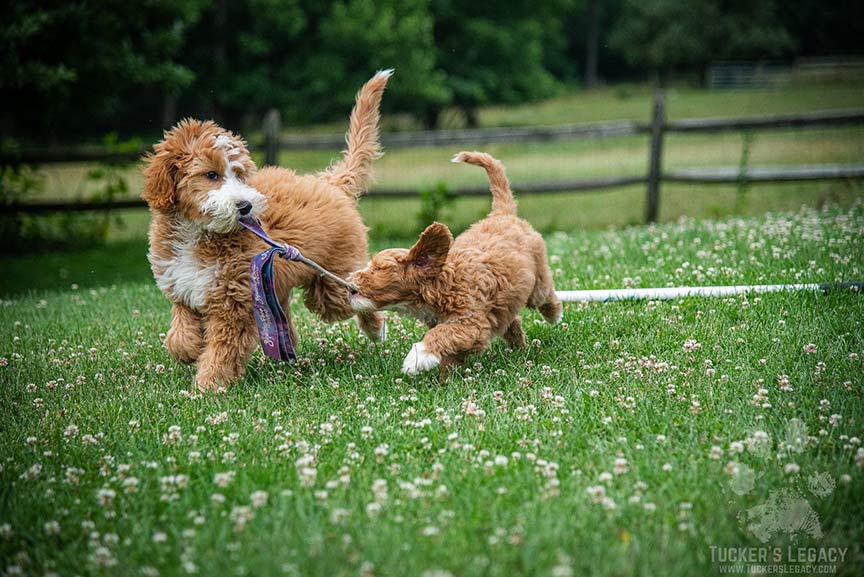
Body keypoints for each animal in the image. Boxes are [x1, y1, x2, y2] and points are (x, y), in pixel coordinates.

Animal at [143, 70, 394, 390]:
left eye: (239, 174)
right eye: (211, 174)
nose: (245, 206)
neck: (198, 233)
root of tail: (328, 182)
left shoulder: (234, 301)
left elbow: (224, 348)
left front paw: (209, 384)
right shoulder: (182, 286)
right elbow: (180, 333)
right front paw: (189, 349)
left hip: (329, 285)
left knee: (350, 296)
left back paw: (377, 328)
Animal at [348, 151, 564, 376]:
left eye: (378, 268)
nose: (349, 281)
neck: (441, 285)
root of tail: (502, 214)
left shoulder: (472, 323)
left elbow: (444, 333)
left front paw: (417, 358)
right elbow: (450, 351)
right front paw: (446, 376)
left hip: (538, 280)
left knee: (545, 295)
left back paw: (554, 315)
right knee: (512, 320)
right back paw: (519, 346)